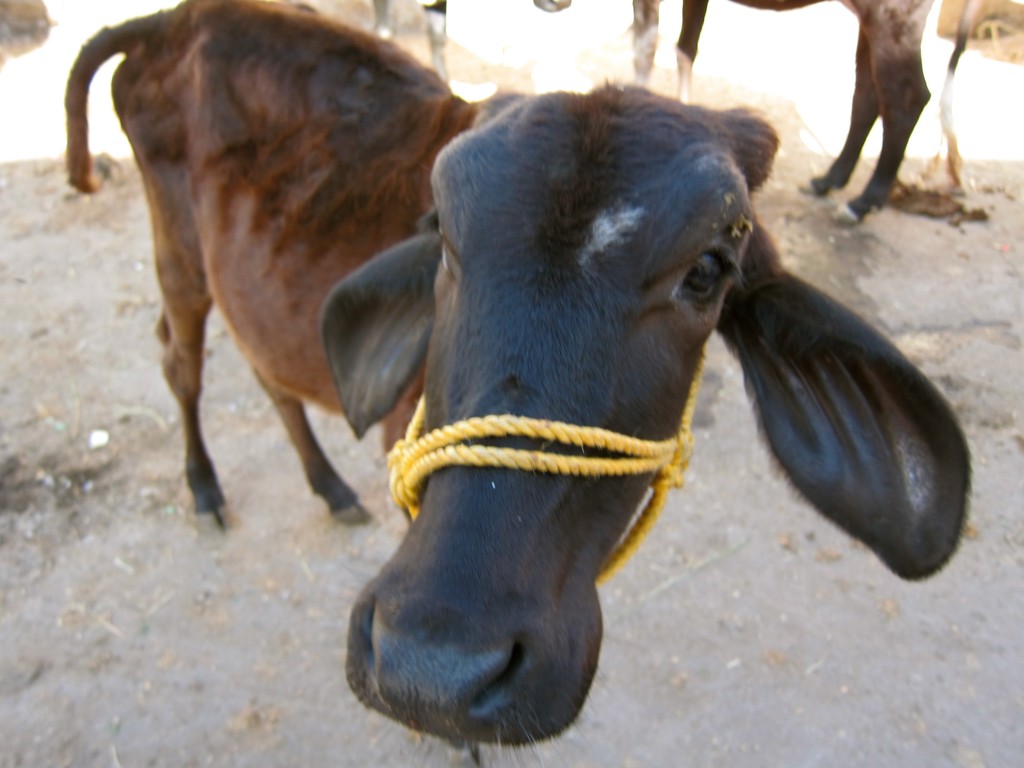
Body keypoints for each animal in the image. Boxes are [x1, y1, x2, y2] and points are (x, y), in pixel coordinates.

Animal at [65, 0, 479, 528]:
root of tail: (172, 19)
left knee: (265, 371)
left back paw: (329, 486)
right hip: (181, 252)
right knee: (180, 365)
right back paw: (204, 485)